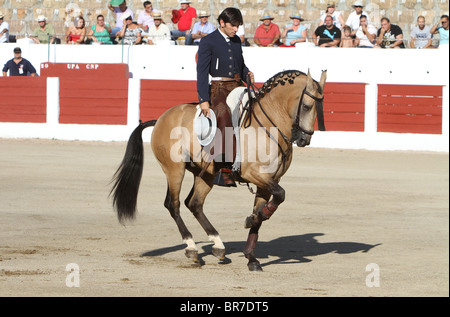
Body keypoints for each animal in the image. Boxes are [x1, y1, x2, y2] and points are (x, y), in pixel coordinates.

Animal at [109, 68, 326, 270]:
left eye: (319, 107)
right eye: (306, 106)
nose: (304, 139)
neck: (268, 125)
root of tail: (161, 119)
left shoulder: (270, 179)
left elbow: (266, 208)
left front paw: (251, 255)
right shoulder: (253, 174)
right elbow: (280, 195)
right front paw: (252, 222)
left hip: (205, 174)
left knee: (194, 203)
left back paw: (218, 246)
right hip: (174, 170)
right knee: (173, 204)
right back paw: (192, 248)